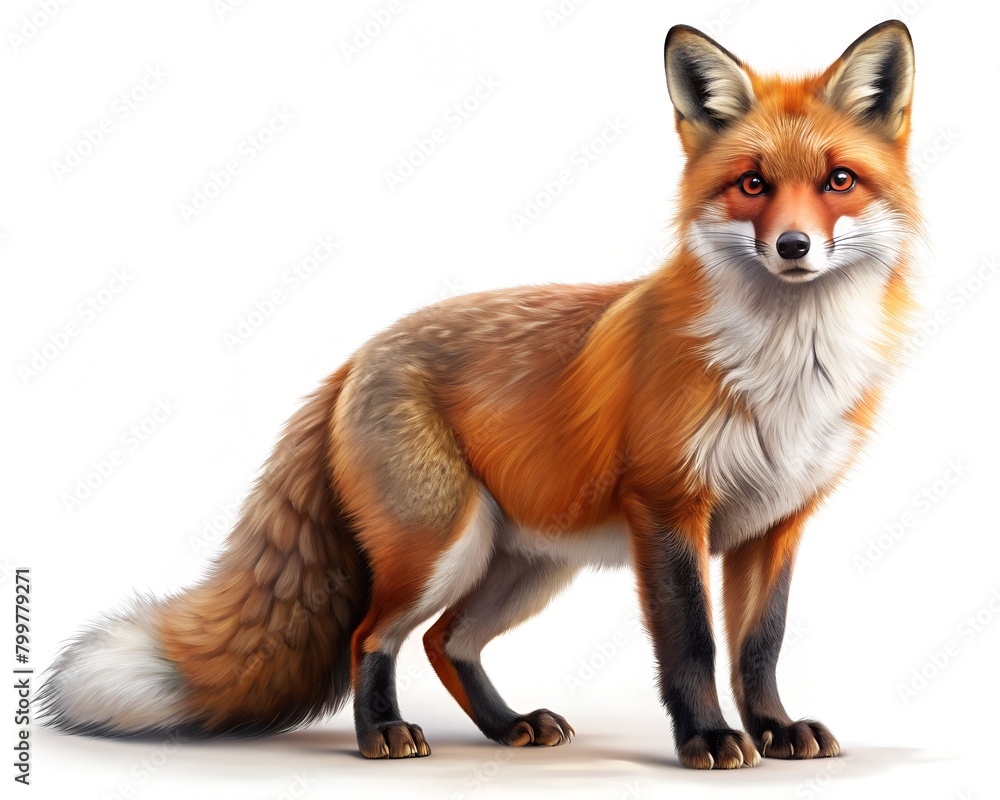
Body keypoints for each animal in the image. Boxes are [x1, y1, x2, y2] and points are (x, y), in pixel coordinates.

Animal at [40, 20, 919, 769]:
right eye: (752, 184)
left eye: (839, 181)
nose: (794, 246)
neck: (784, 372)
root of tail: (357, 355)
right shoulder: (668, 509)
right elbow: (695, 645)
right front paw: (706, 738)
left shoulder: (776, 523)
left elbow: (759, 647)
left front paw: (773, 730)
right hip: (442, 545)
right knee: (373, 637)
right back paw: (383, 734)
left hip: (524, 566)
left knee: (447, 643)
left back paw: (507, 726)